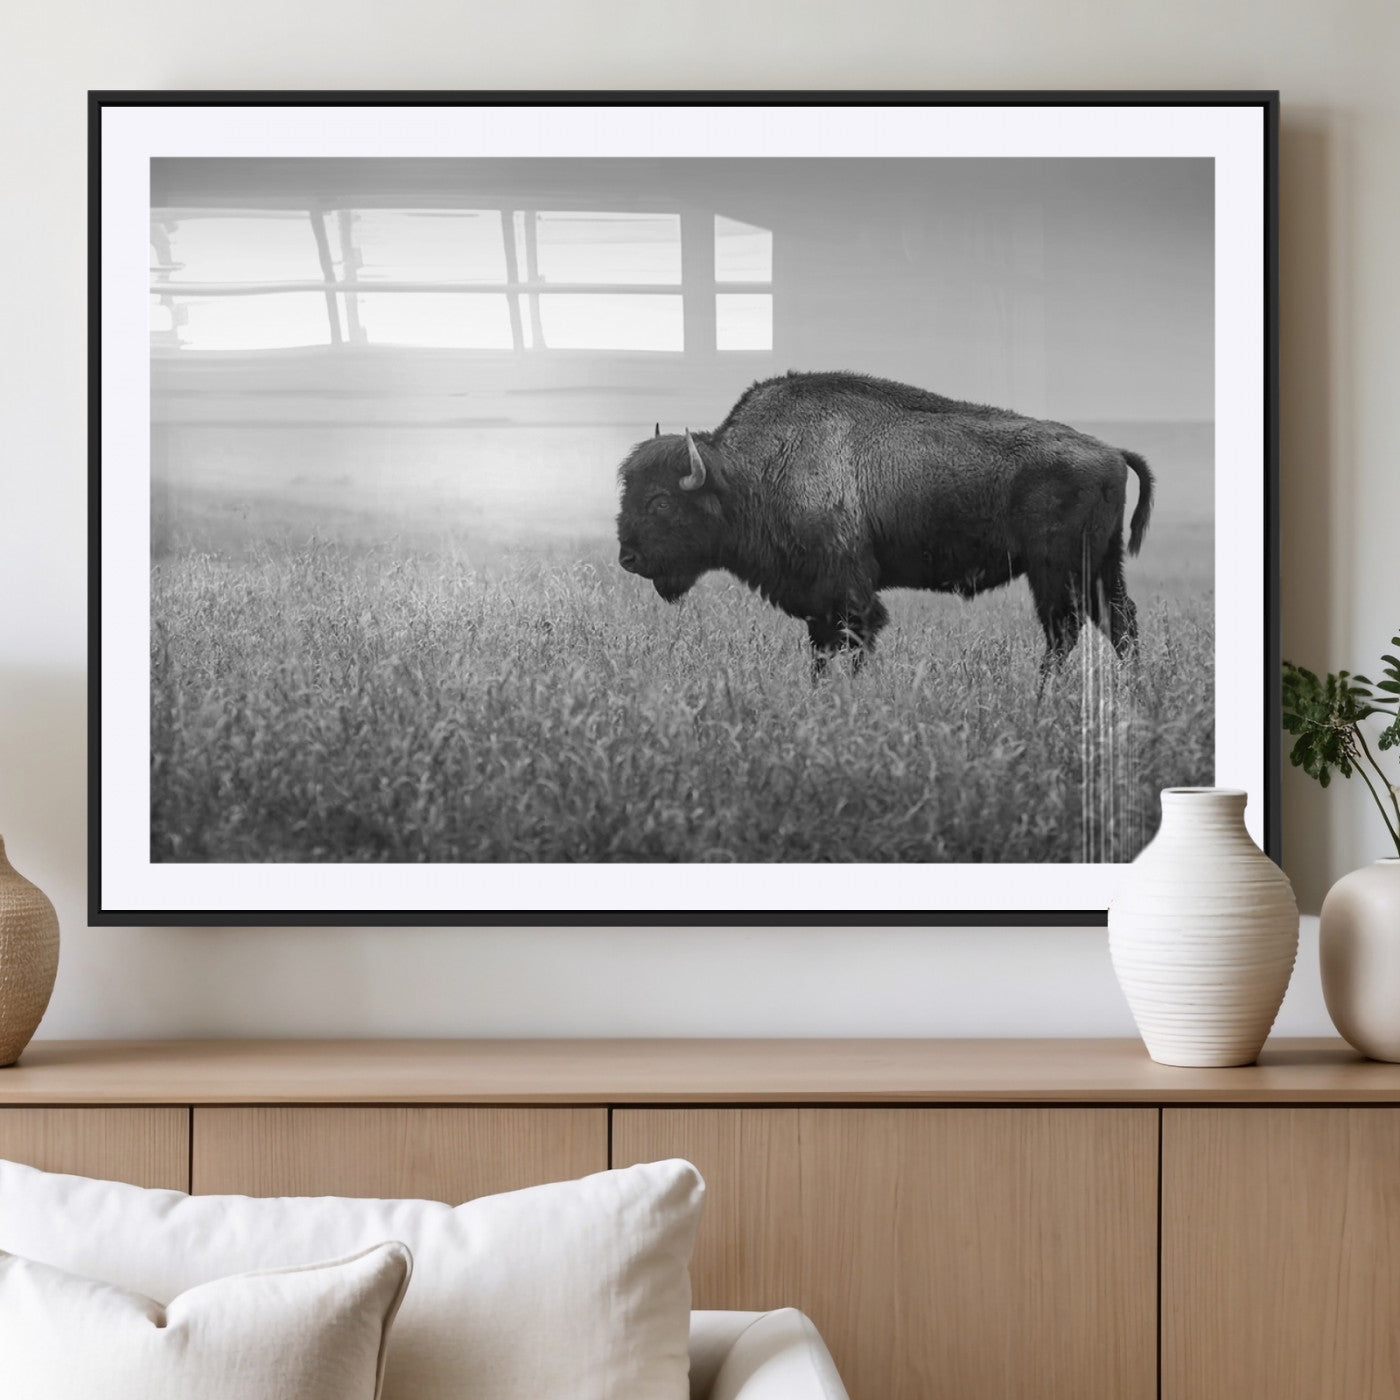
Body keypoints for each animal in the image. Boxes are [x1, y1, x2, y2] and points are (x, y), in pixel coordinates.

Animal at [615, 371, 1154, 675]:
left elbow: (853, 642)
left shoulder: (849, 593)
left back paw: (1044, 696)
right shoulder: (819, 603)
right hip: (1102, 565)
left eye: (661, 501)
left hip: (1056, 570)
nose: (628, 558)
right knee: (1119, 622)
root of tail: (1111, 451)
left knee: (1065, 630)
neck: (749, 473)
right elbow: (821, 652)